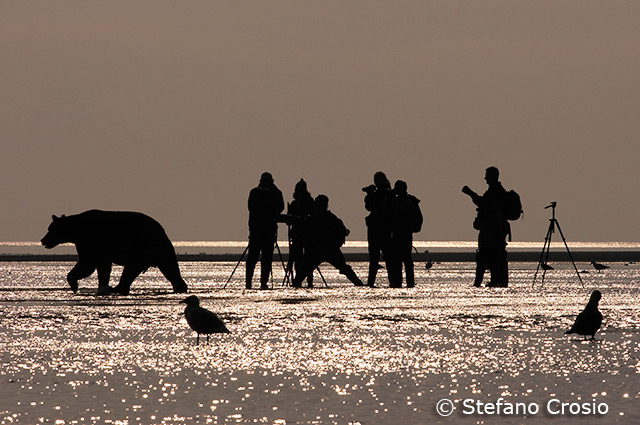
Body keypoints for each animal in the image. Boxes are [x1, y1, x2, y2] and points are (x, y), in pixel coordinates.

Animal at [40, 210, 188, 295]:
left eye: (50, 229)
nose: (43, 240)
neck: (76, 232)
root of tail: (162, 229)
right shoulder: (87, 245)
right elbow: (94, 265)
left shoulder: (92, 242)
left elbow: (88, 264)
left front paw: (75, 285)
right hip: (156, 249)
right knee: (169, 268)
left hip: (144, 246)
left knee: (134, 269)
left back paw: (117, 288)